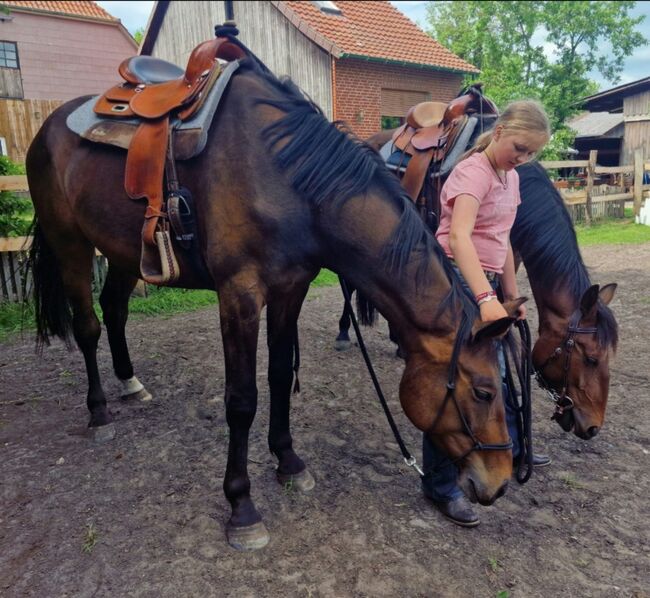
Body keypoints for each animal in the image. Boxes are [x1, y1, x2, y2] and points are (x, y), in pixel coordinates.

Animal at [26, 47, 520, 552]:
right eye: (483, 391)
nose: (499, 482)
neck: (291, 181)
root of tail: (50, 125)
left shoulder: (290, 289)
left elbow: (281, 376)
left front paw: (289, 463)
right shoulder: (239, 295)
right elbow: (242, 399)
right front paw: (241, 506)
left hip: (123, 252)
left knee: (115, 309)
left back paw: (130, 383)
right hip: (71, 244)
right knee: (88, 326)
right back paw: (99, 410)